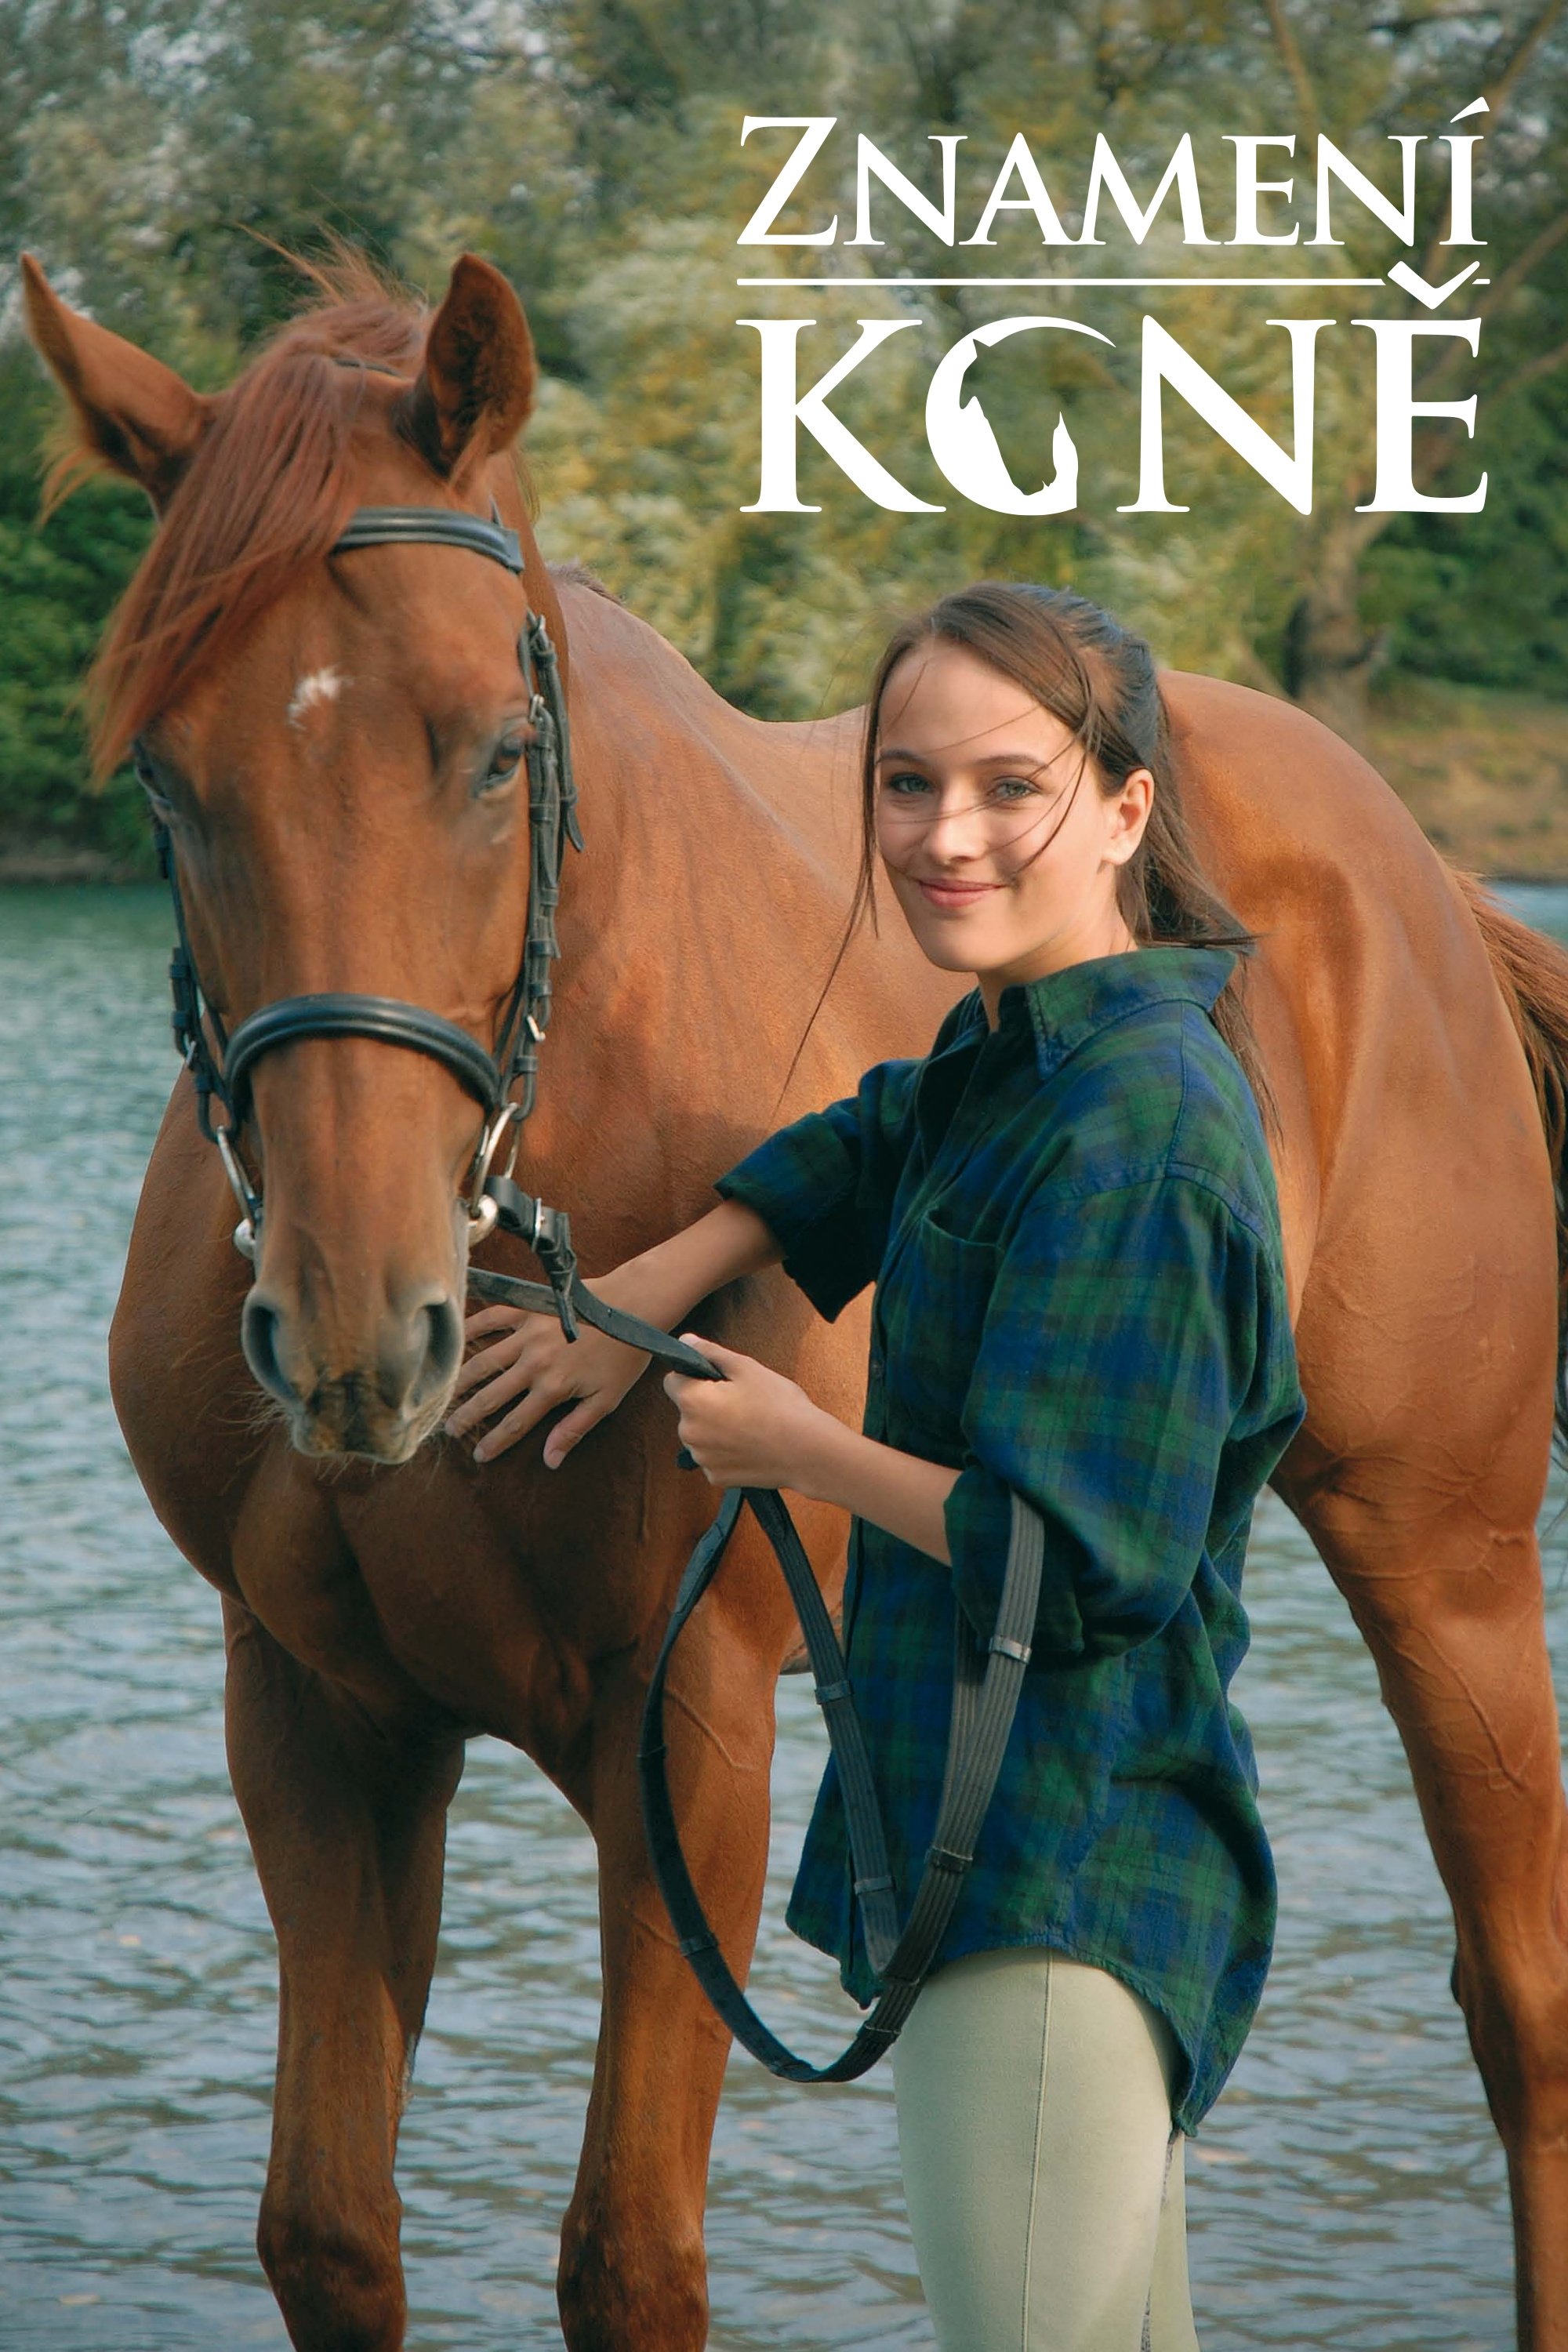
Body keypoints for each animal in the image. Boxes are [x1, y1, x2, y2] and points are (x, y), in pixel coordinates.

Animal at [21, 246, 1568, 2352]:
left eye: (496, 747)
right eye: (171, 781)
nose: (356, 1331)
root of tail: (1419, 874)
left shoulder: (687, 1733)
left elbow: (630, 2254)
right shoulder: (320, 1717)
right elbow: (329, 2231)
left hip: (1444, 1553)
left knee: (1520, 2011)